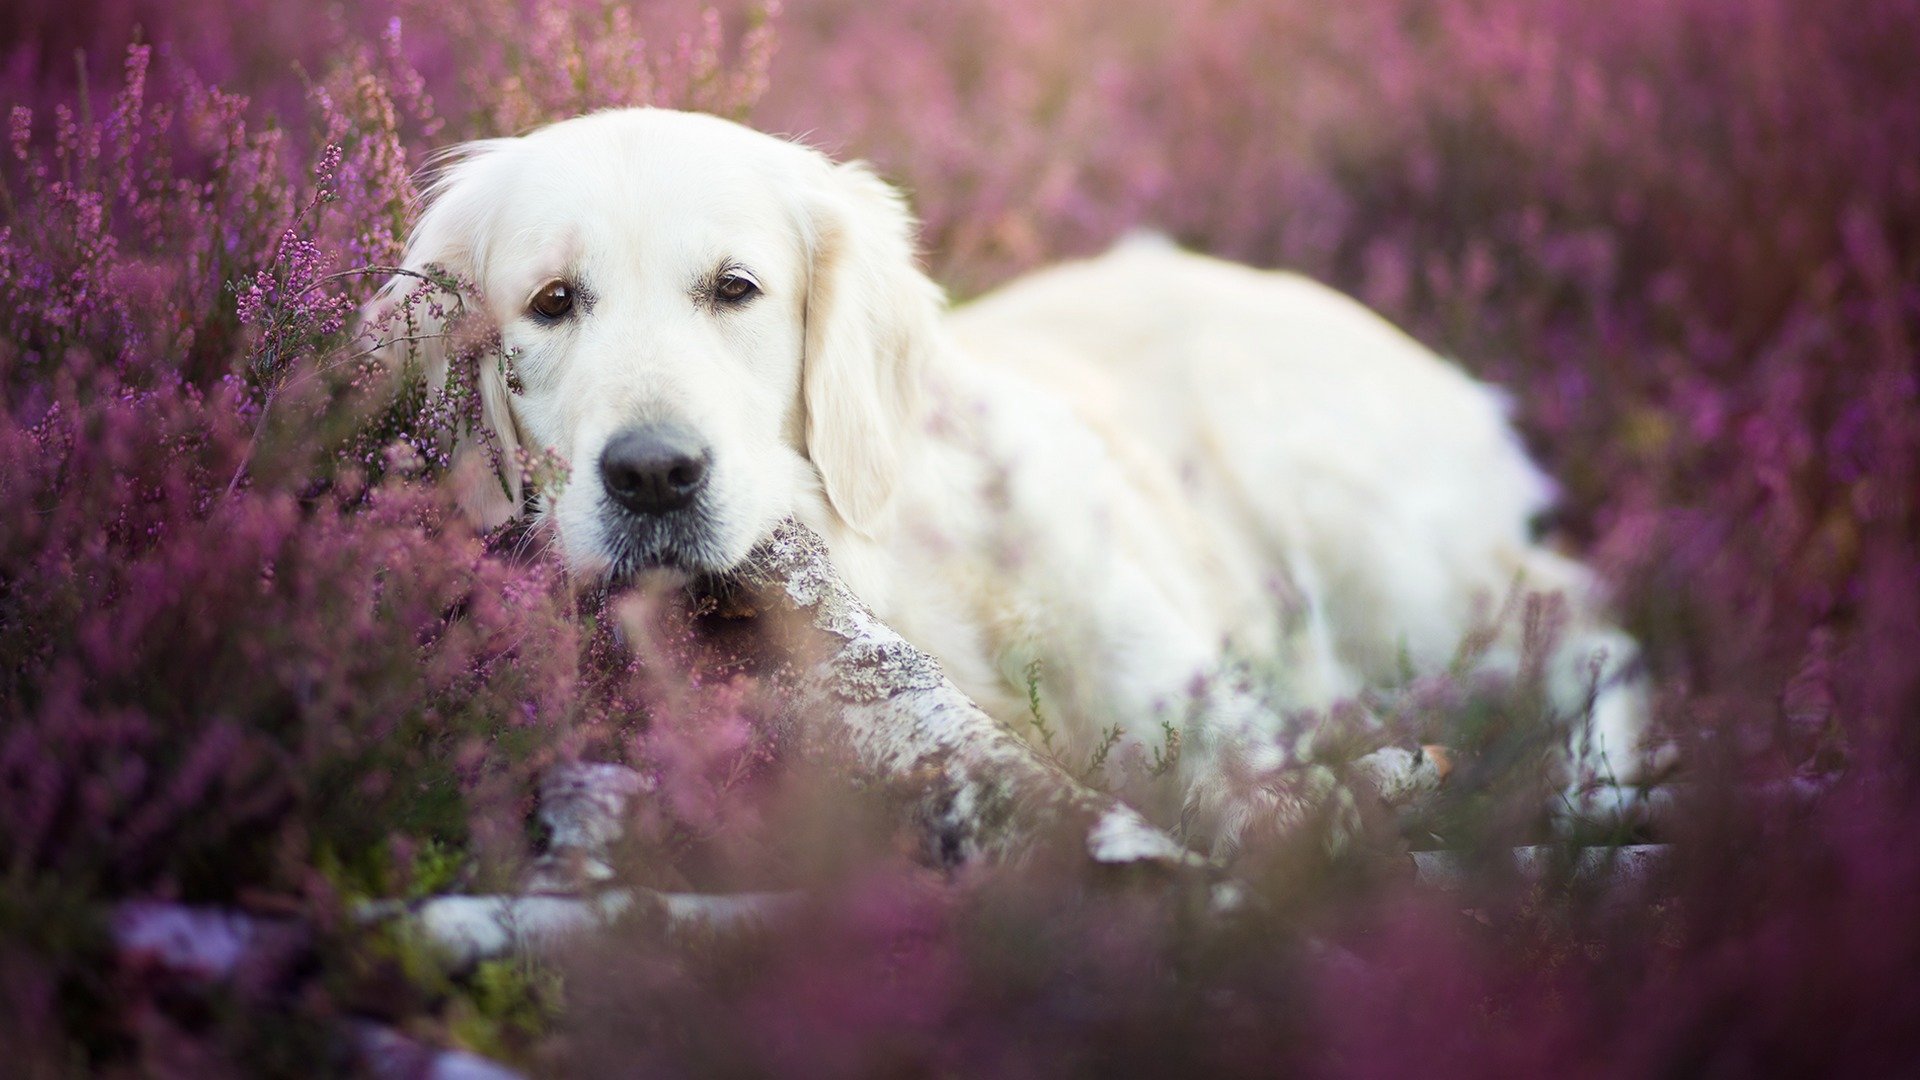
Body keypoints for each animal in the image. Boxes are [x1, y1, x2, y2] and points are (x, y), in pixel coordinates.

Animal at [362, 107, 1651, 849]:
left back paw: (1600, 784)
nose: (654, 474)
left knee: (1584, 620)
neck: (885, 569)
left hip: (1353, 532)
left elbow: (1254, 782)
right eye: (550, 303)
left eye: (735, 288)